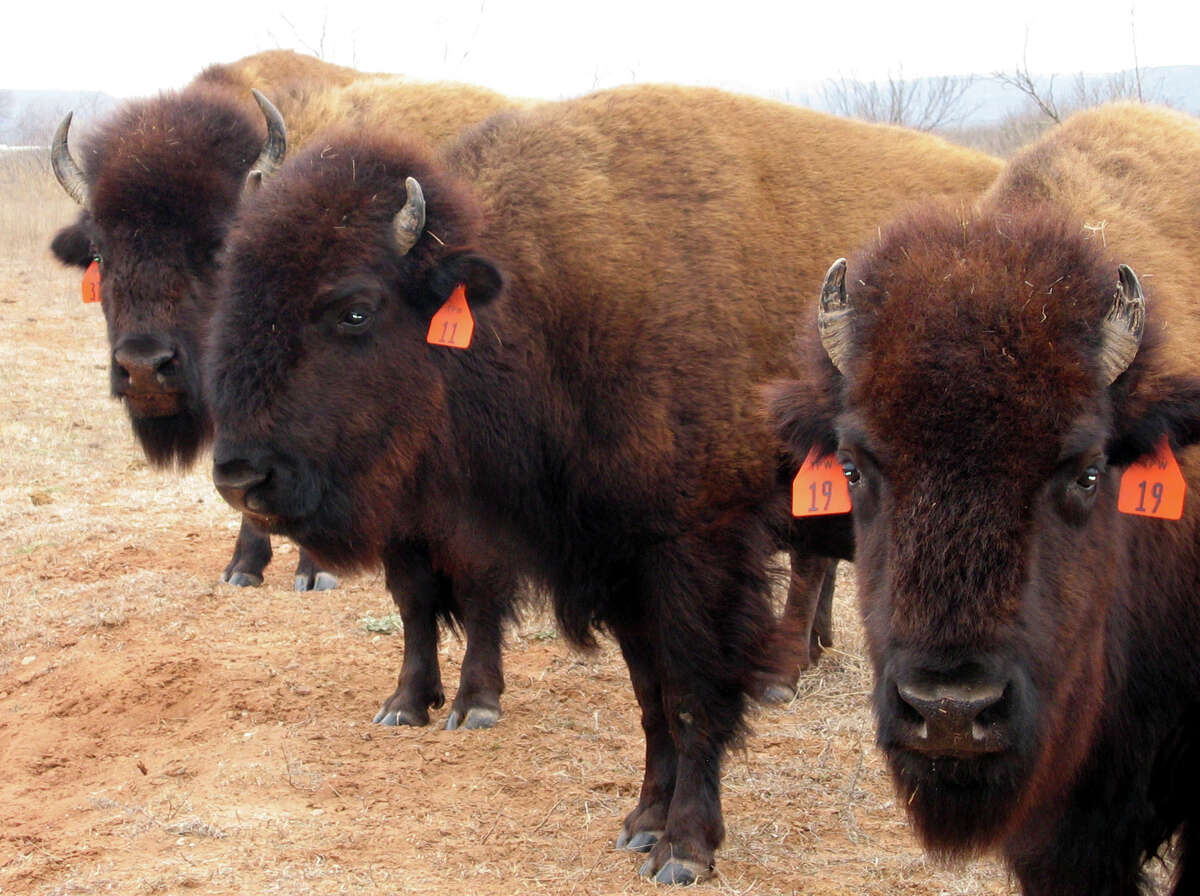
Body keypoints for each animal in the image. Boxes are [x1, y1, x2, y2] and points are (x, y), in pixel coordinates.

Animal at [206, 84, 1001, 882]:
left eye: (356, 308)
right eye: (233, 284)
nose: (241, 473)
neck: (552, 295)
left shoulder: (696, 554)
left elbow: (691, 696)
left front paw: (684, 850)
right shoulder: (619, 563)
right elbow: (650, 698)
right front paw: (642, 824)